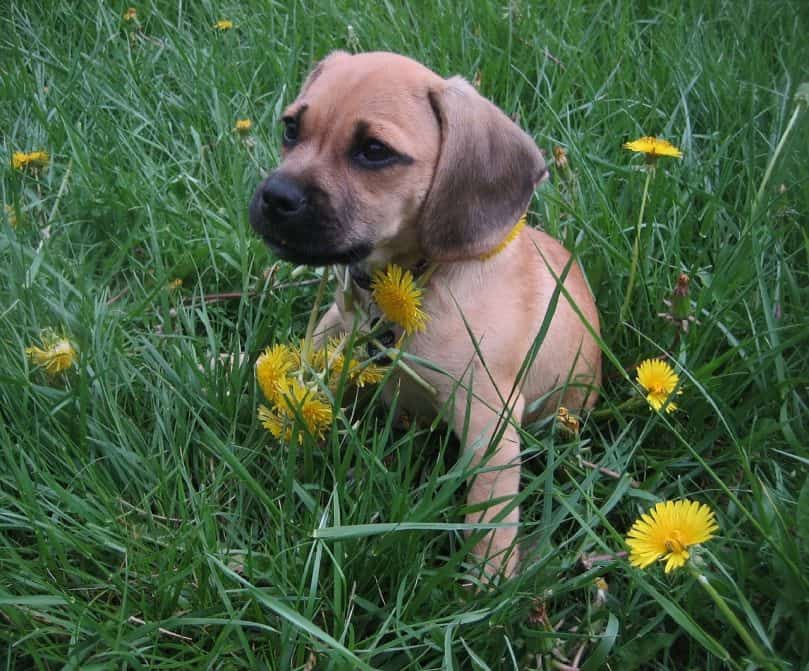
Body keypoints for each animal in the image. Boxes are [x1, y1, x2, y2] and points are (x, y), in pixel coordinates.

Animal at [248, 51, 600, 576]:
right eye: (291, 128)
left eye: (374, 151)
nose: (275, 197)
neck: (414, 279)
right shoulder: (338, 325)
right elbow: (298, 354)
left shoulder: (489, 419)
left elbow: (490, 508)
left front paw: (490, 578)